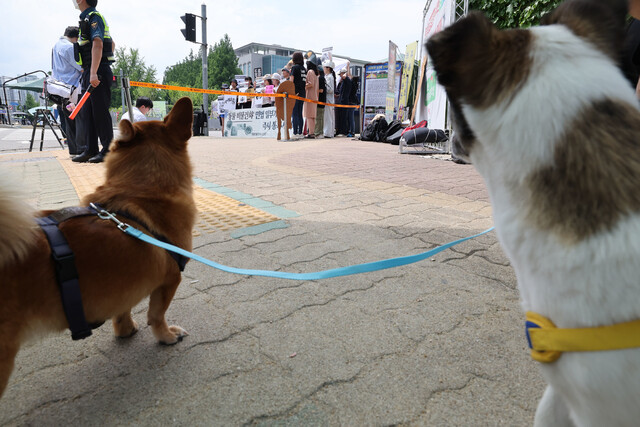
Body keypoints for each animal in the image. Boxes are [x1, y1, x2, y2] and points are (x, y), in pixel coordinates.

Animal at [0, 96, 198, 398]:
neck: (139, 189)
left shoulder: (124, 284)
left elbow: (123, 307)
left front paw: (124, 329)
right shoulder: (169, 281)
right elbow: (157, 315)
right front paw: (165, 336)